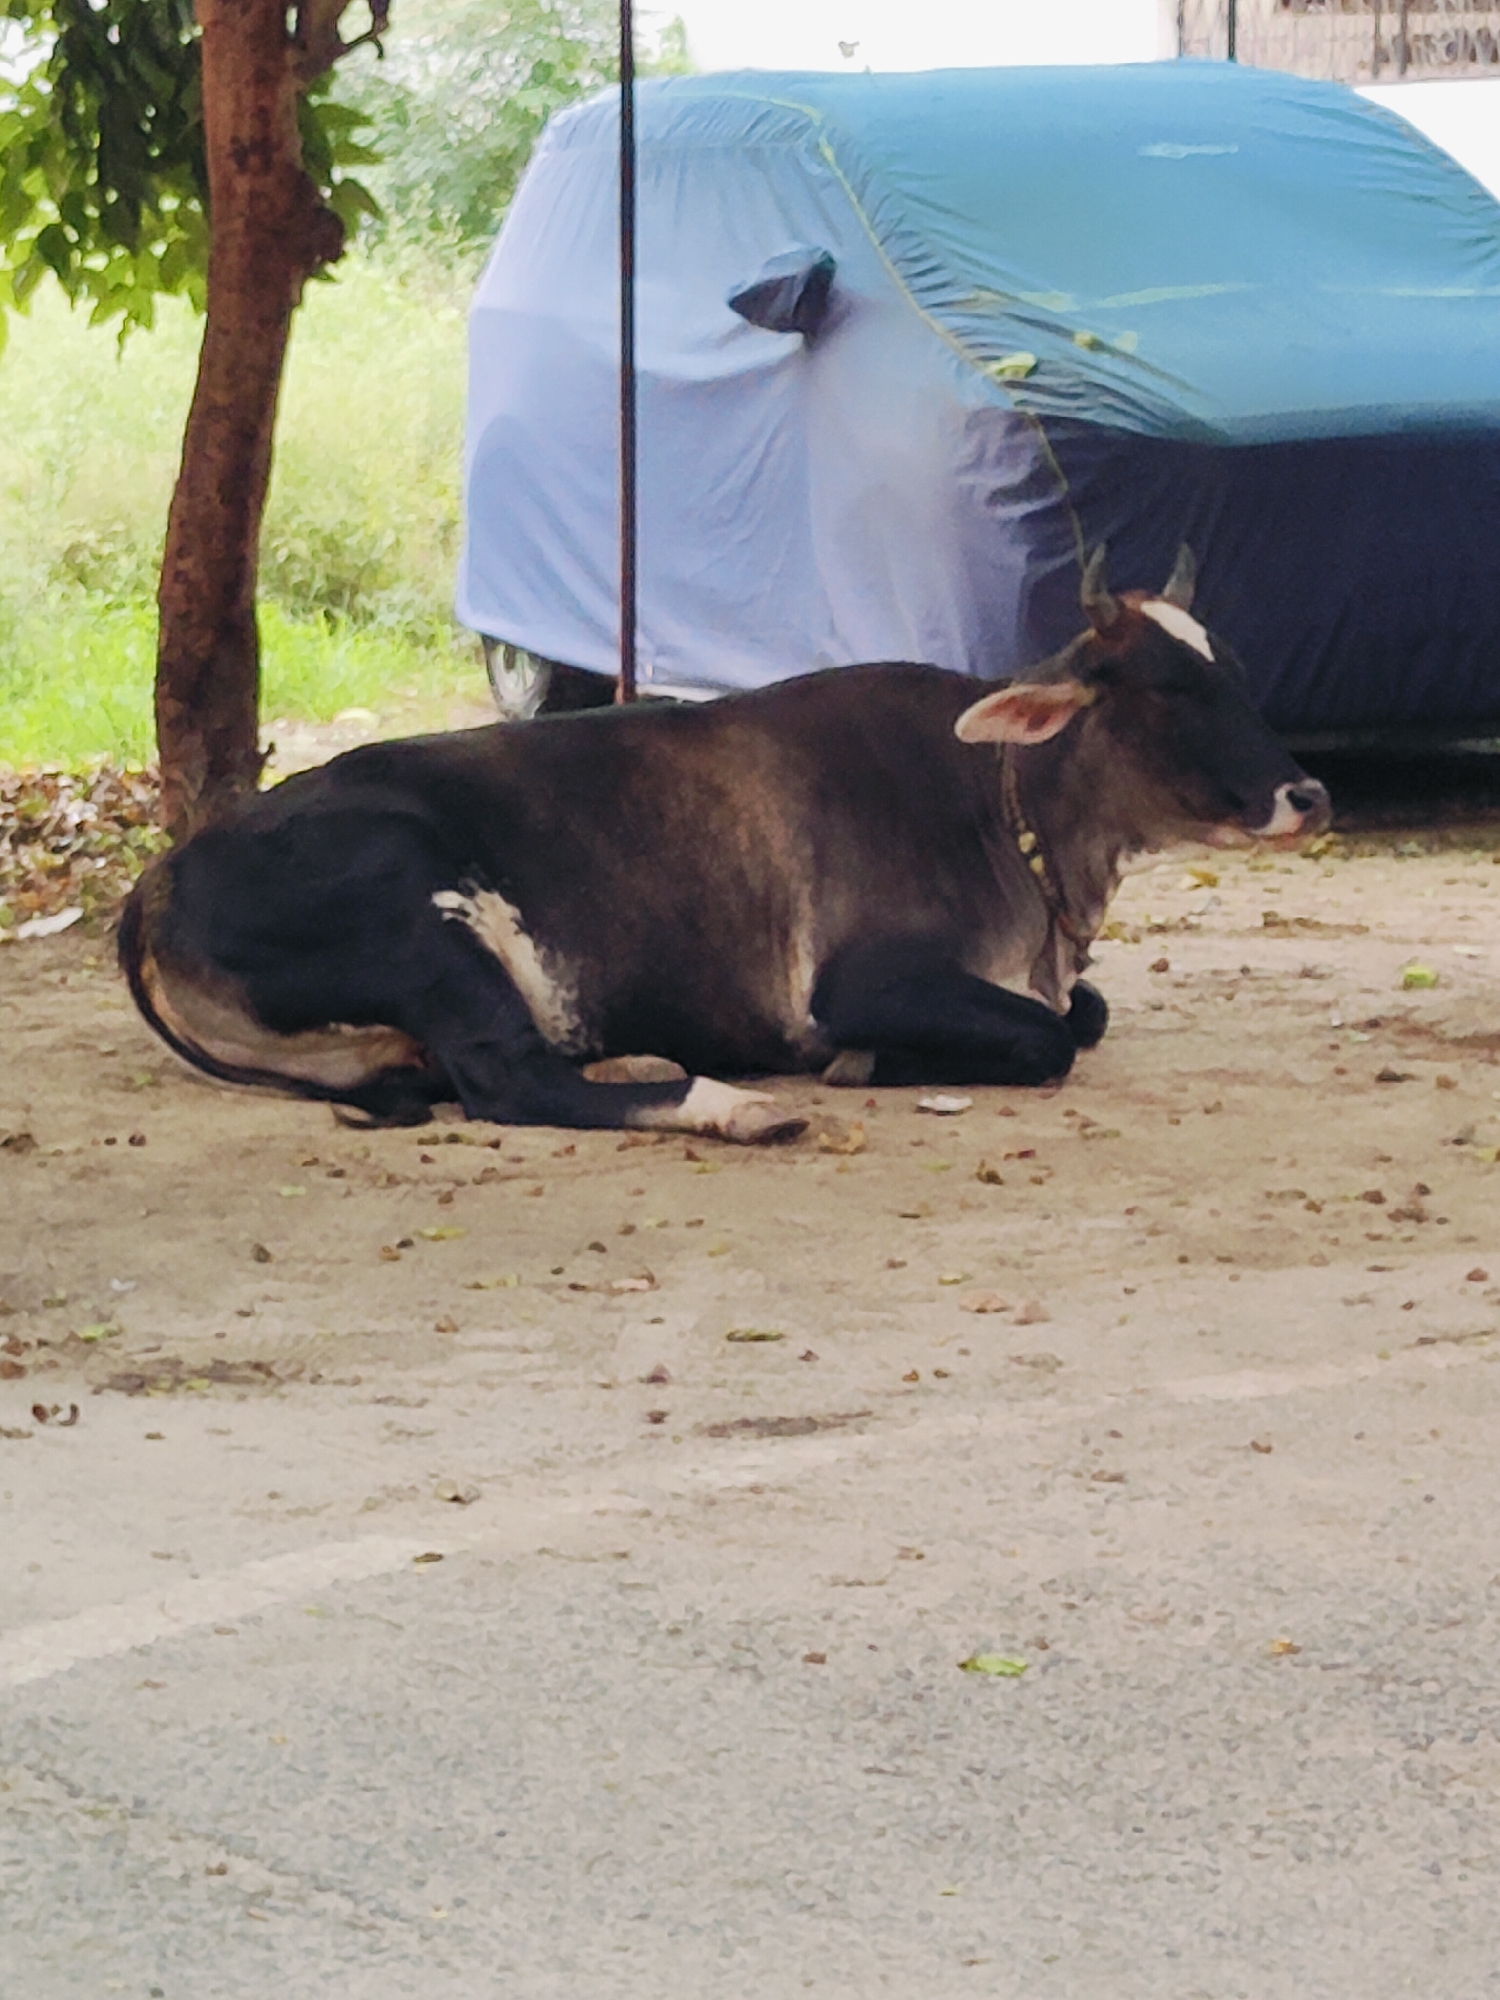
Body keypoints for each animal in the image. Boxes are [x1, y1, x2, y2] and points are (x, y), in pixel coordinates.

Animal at [119, 549, 1330, 1143]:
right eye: (1170, 688)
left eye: (1230, 666)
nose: (1309, 793)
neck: (996, 802)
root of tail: (162, 876)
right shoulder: (860, 980)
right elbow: (1049, 1038)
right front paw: (860, 1064)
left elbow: (1085, 1015)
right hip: (419, 922)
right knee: (509, 1081)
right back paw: (731, 1104)